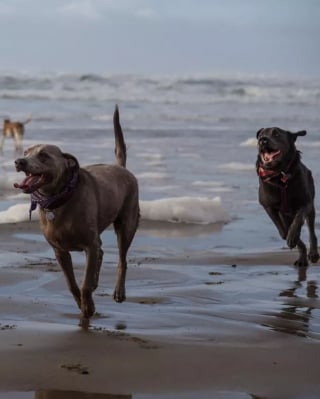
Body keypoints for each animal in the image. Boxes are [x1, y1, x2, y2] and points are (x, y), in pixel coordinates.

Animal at [256, 126, 318, 268]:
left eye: (276, 134)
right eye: (261, 135)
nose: (262, 140)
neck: (280, 175)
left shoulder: (305, 202)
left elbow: (298, 219)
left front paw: (294, 235)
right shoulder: (268, 206)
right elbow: (283, 232)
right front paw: (293, 239)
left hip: (311, 206)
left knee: (311, 230)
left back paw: (313, 253)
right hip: (284, 215)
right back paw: (302, 258)